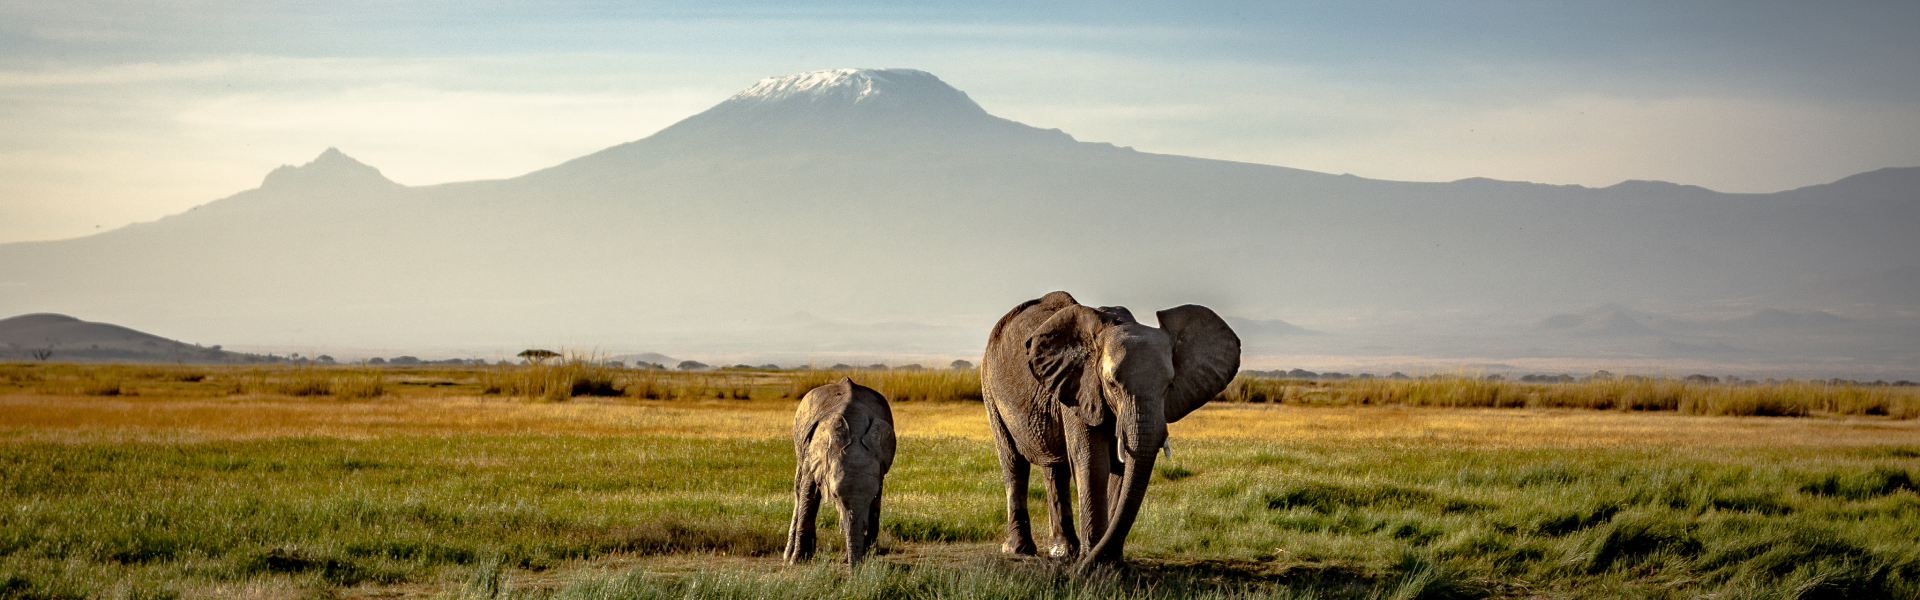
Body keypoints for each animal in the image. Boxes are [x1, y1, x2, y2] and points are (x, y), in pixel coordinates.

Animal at [784, 377, 896, 567]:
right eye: (835, 496)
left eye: (871, 496)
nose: (855, 571)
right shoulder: (813, 452)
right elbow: (808, 491)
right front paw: (798, 562)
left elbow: (875, 506)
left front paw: (868, 560)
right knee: (798, 489)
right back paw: (788, 557)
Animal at [982, 291, 1239, 570]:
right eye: (1111, 384)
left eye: (1169, 385)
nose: (1080, 569)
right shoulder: (1080, 387)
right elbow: (1092, 461)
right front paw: (1095, 565)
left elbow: (1121, 468)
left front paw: (1108, 562)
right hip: (990, 388)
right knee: (1013, 462)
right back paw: (1019, 550)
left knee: (1055, 468)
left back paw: (1063, 552)